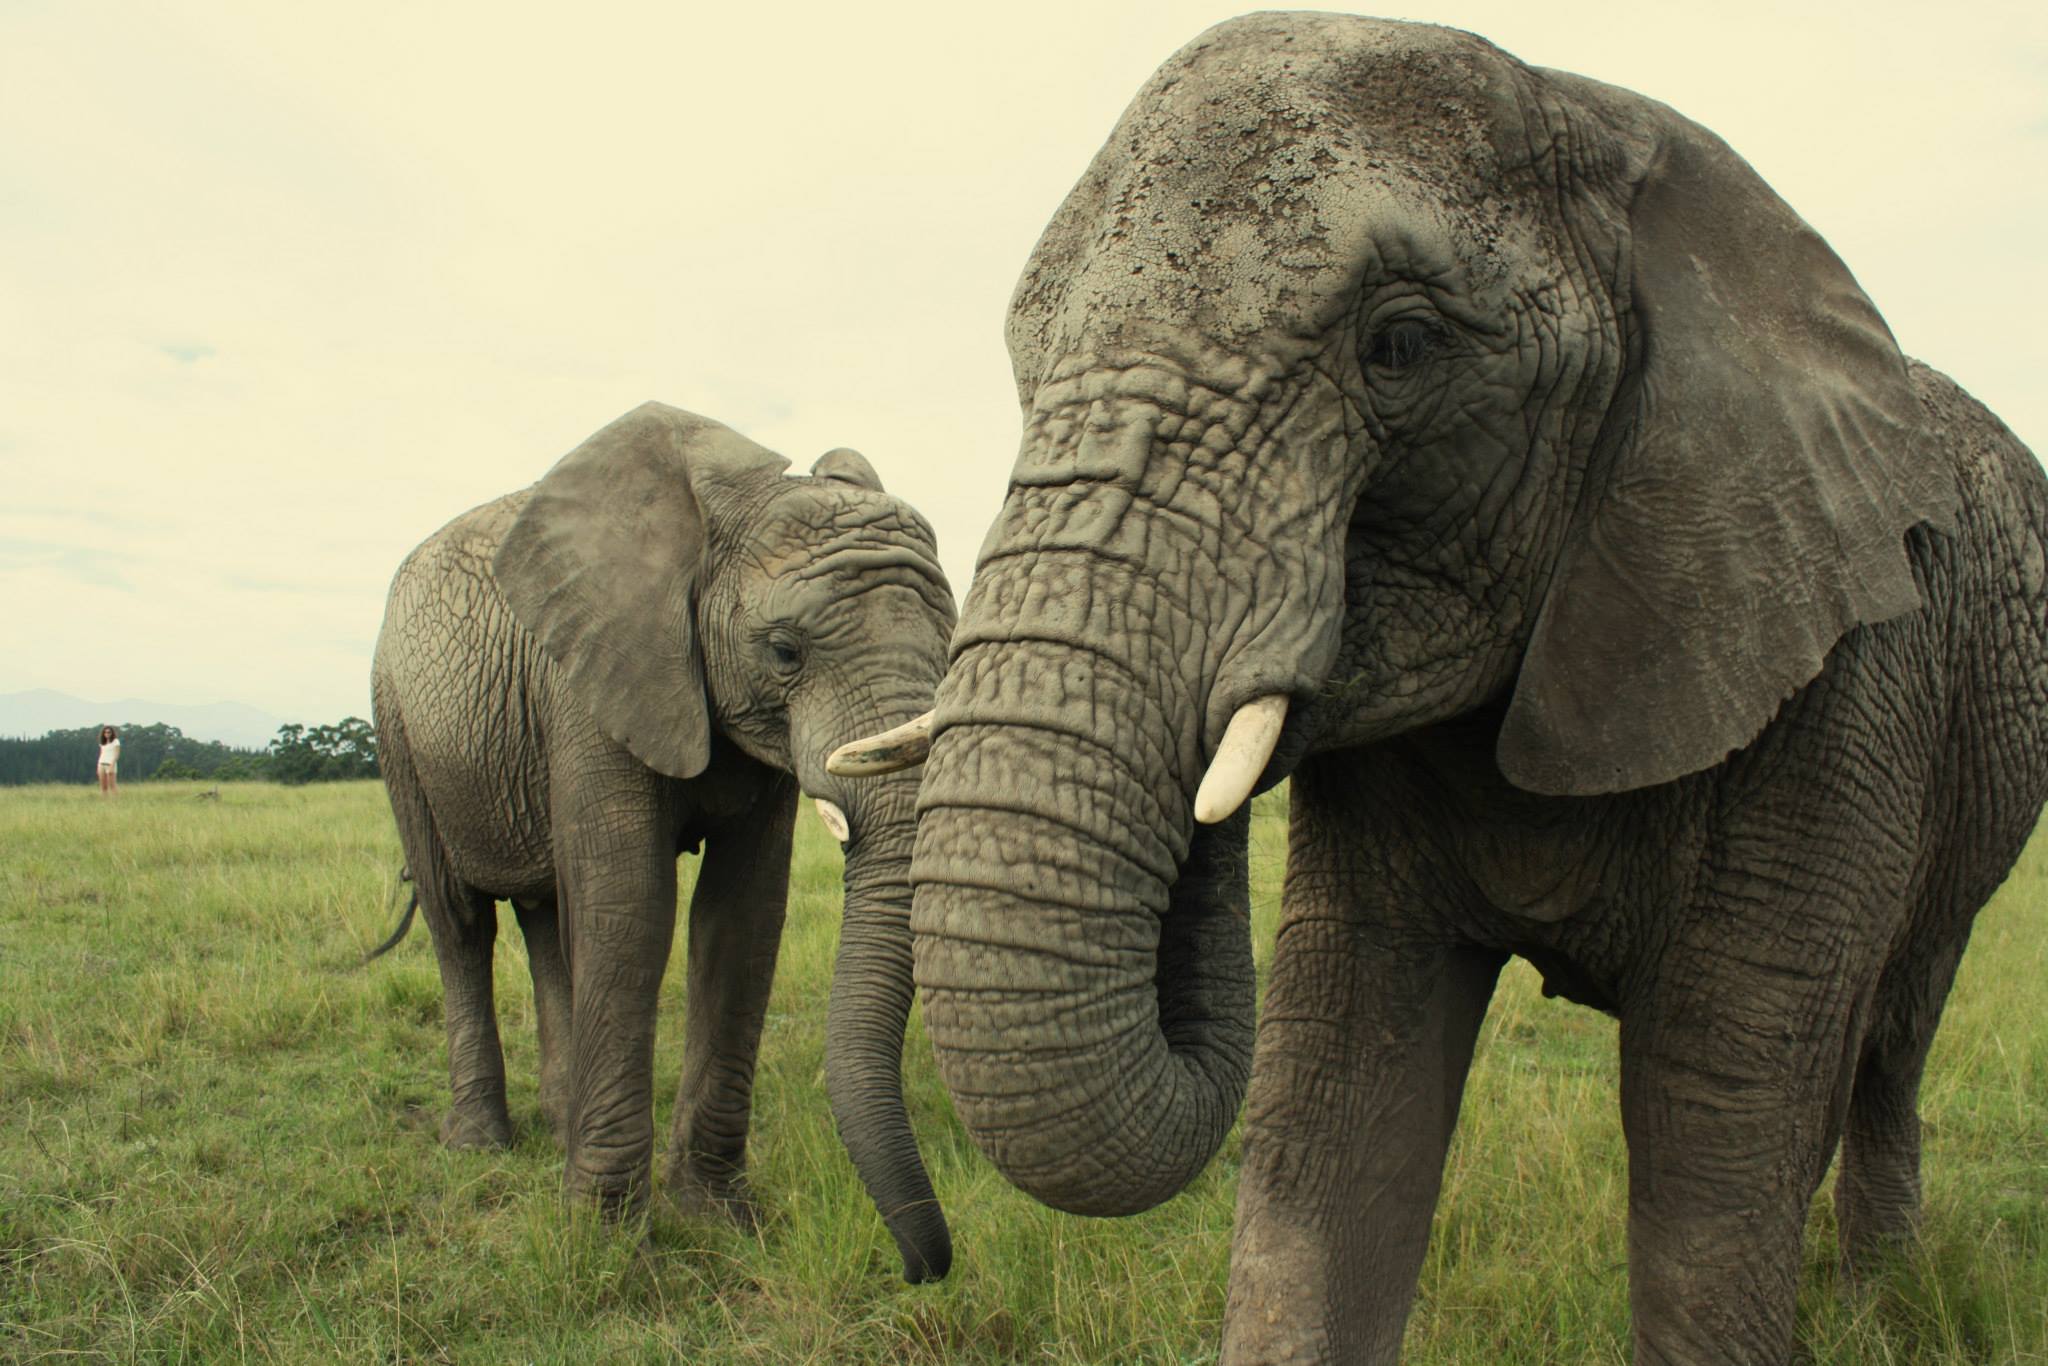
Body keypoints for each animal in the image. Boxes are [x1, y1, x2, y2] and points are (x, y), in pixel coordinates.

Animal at [371, 401, 956, 1283]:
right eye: (784, 651)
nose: (920, 1268)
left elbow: (741, 918)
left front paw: (715, 1217)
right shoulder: (591, 675)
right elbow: (631, 910)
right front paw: (604, 1238)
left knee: (546, 914)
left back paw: (560, 1119)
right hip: (399, 725)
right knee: (461, 921)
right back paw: (480, 1144)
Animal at [834, 14, 2048, 1361]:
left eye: (1400, 346)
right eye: (1023, 361)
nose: (928, 1267)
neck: (1613, 128)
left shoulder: (1833, 677)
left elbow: (1716, 1127)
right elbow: (1336, 1095)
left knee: (1892, 1031)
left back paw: (1878, 1302)